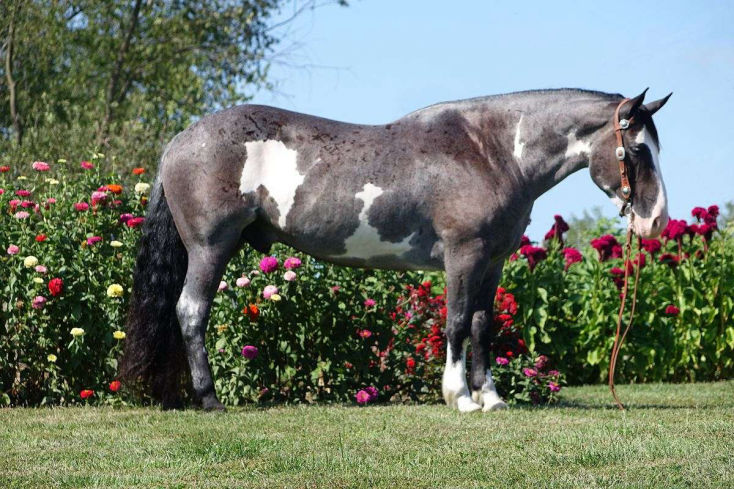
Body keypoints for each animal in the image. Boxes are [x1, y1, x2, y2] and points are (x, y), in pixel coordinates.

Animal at [121, 88, 671, 411]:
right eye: (637, 150)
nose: (656, 220)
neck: (492, 152)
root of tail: (180, 142)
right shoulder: (463, 257)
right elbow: (455, 323)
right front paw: (460, 398)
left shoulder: (493, 262)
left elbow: (481, 326)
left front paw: (491, 399)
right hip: (210, 247)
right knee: (191, 311)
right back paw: (210, 400)